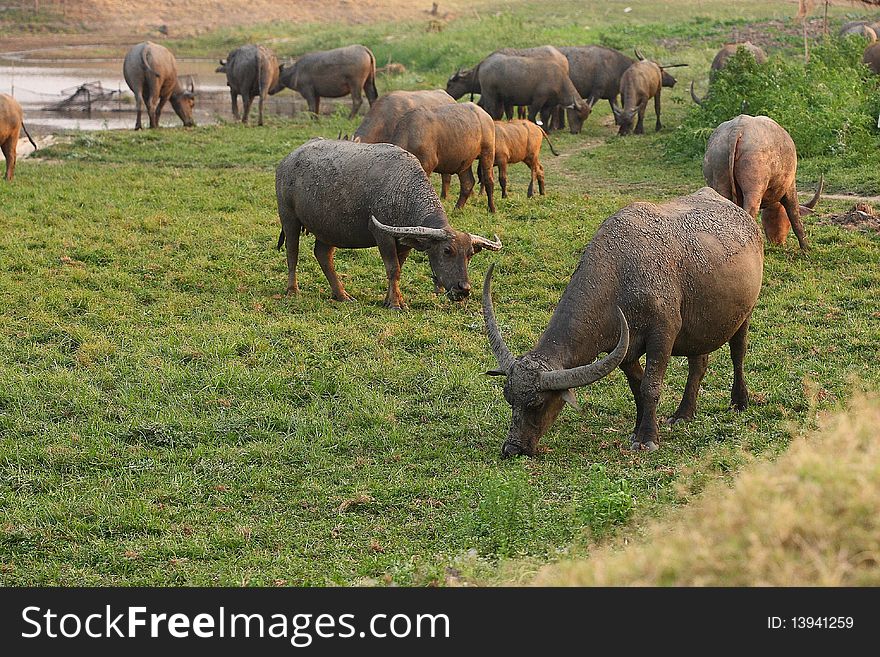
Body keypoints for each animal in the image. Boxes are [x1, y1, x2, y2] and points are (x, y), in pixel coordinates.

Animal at [274, 138, 502, 308]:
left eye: (470, 254)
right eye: (447, 251)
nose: (464, 289)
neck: (402, 189)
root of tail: (287, 160)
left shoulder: (405, 242)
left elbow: (398, 268)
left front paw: (391, 298)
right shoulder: (382, 235)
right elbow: (393, 269)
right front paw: (395, 303)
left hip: (328, 229)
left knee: (323, 255)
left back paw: (341, 294)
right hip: (289, 218)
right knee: (292, 253)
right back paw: (293, 290)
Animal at [482, 186, 764, 456]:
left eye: (538, 404)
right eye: (509, 398)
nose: (513, 449)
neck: (620, 277)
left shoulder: (663, 334)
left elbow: (651, 385)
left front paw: (647, 438)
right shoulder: (624, 348)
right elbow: (637, 386)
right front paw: (638, 429)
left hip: (745, 315)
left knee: (738, 354)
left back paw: (739, 401)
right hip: (699, 330)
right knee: (699, 364)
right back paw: (683, 413)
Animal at [700, 114, 820, 250]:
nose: (777, 243)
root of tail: (738, 128)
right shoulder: (790, 187)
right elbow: (795, 216)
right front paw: (806, 248)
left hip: (718, 169)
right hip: (754, 186)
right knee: (750, 211)